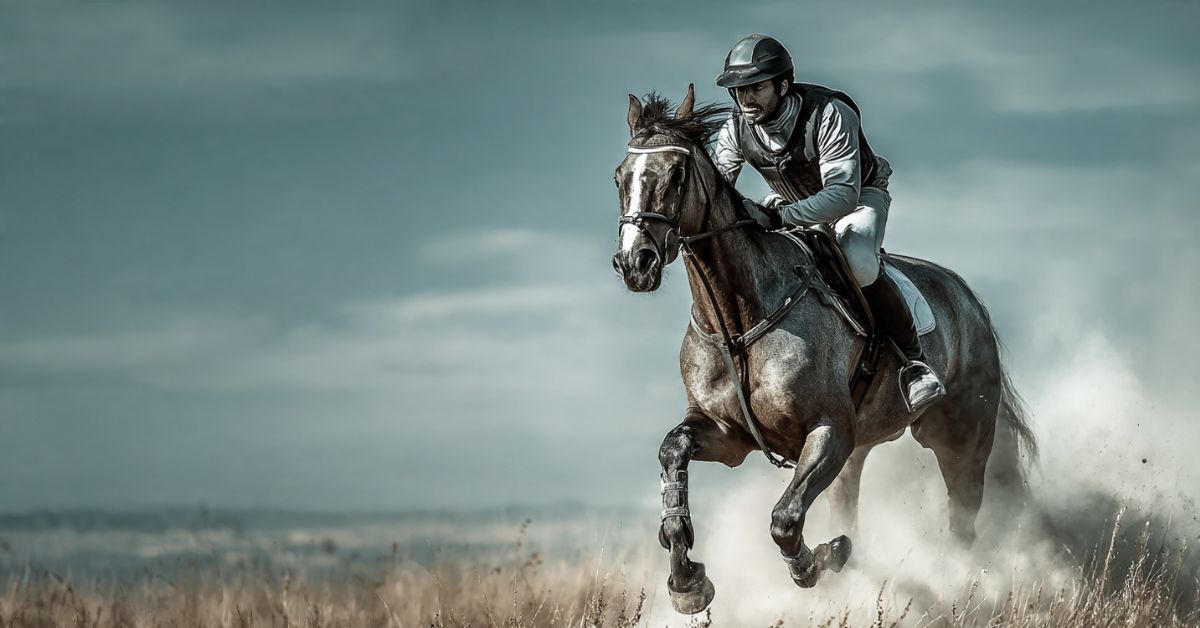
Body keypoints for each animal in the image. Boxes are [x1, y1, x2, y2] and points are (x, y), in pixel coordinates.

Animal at [610, 85, 1038, 614]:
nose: (635, 262)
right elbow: (674, 453)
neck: (737, 322)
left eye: (676, 174)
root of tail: (969, 301)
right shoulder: (728, 435)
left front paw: (817, 562)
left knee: (963, 519)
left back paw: (957, 583)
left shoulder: (829, 430)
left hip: (960, 438)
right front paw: (688, 582)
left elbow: (785, 519)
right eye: (620, 177)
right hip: (860, 452)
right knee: (853, 502)